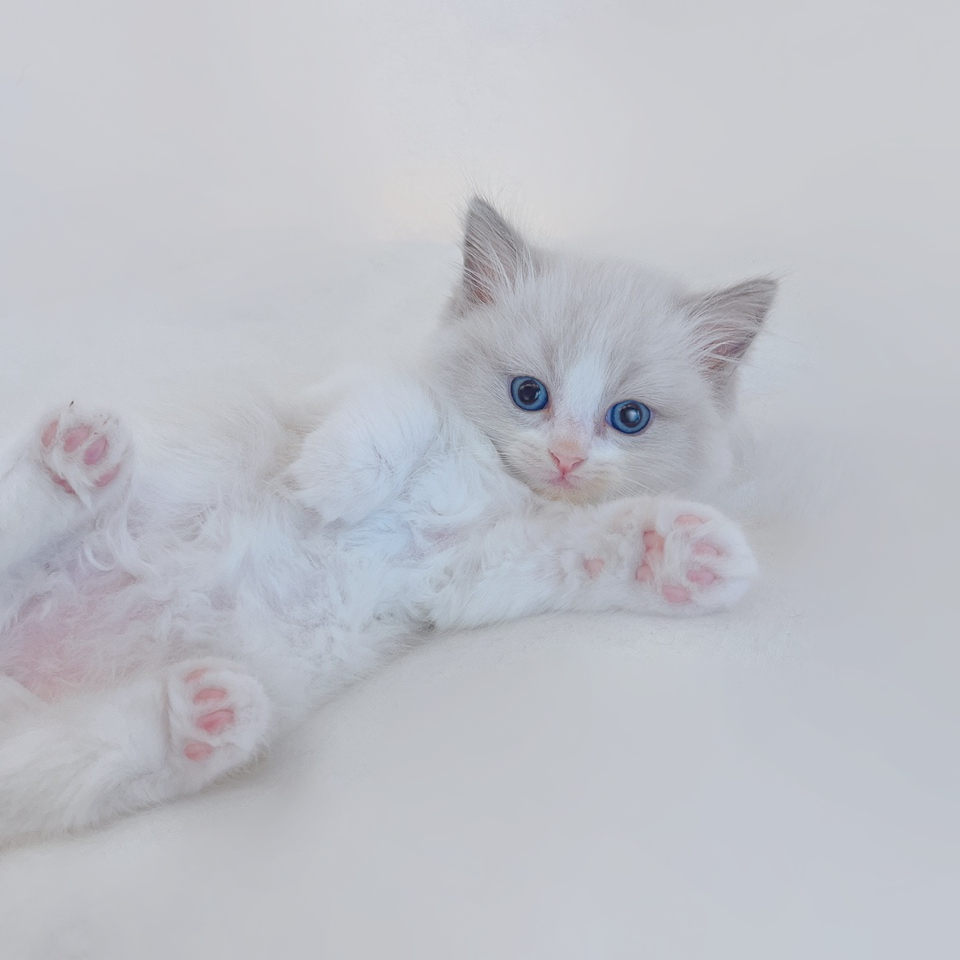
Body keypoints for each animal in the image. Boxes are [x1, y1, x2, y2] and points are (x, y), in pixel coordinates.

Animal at [0, 198, 775, 843]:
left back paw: (202, 713)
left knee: (70, 765)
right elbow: (398, 412)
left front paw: (672, 552)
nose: (564, 456)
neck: (489, 478)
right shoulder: (345, 392)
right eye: (529, 394)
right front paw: (327, 484)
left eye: (628, 418)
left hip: (41, 753)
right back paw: (75, 461)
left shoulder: (470, 572)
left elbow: (572, 553)